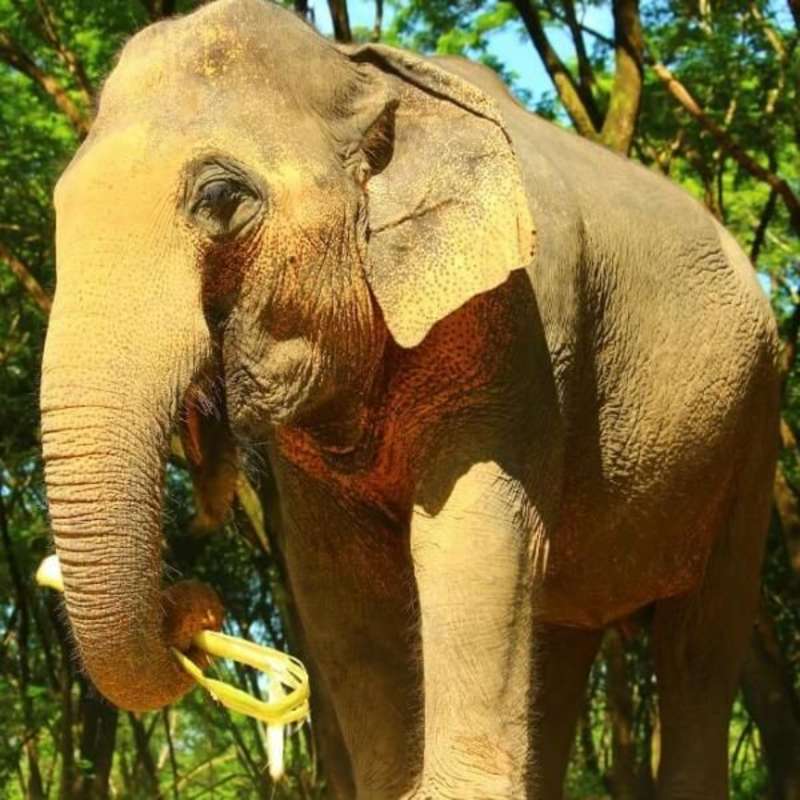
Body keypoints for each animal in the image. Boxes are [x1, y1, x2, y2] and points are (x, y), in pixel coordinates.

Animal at [40, 0, 781, 797]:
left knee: (700, 642)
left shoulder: (519, 325)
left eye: (220, 197)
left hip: (754, 422)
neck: (363, 73)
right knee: (562, 637)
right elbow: (341, 584)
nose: (193, 608)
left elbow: (469, 539)